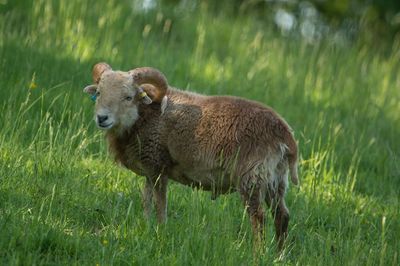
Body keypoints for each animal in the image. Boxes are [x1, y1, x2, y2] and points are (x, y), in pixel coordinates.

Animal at [83, 62, 298, 249]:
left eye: (128, 97)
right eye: (99, 93)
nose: (102, 118)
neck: (144, 116)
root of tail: (285, 134)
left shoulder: (158, 166)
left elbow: (160, 205)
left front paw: (160, 232)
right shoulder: (150, 171)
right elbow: (146, 202)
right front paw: (146, 227)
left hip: (252, 176)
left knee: (259, 217)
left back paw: (257, 254)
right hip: (275, 179)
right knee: (282, 215)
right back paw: (279, 254)